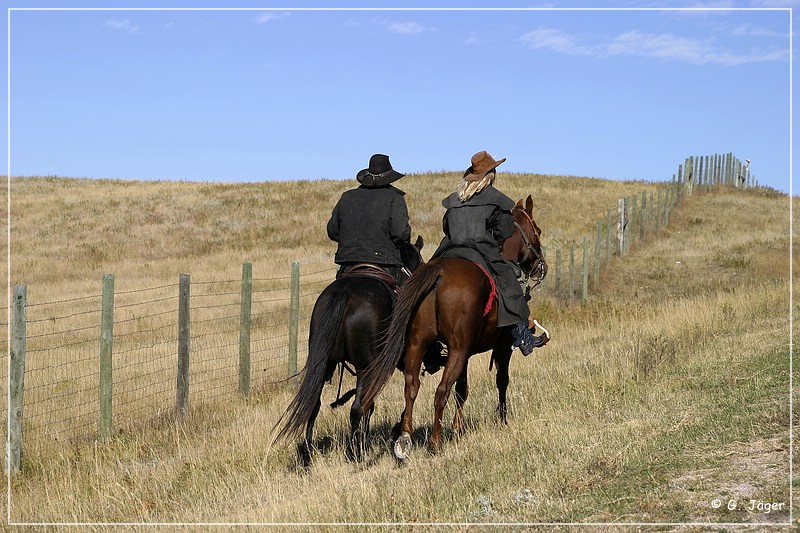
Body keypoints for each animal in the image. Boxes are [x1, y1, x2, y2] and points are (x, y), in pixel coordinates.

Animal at [360, 197, 544, 460]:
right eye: (537, 231)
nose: (541, 266)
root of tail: (438, 273)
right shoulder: (501, 345)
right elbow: (501, 380)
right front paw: (502, 419)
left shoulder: (465, 354)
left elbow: (462, 389)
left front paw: (457, 430)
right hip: (455, 351)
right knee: (441, 391)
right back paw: (435, 441)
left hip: (418, 345)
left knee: (411, 388)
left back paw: (405, 438)